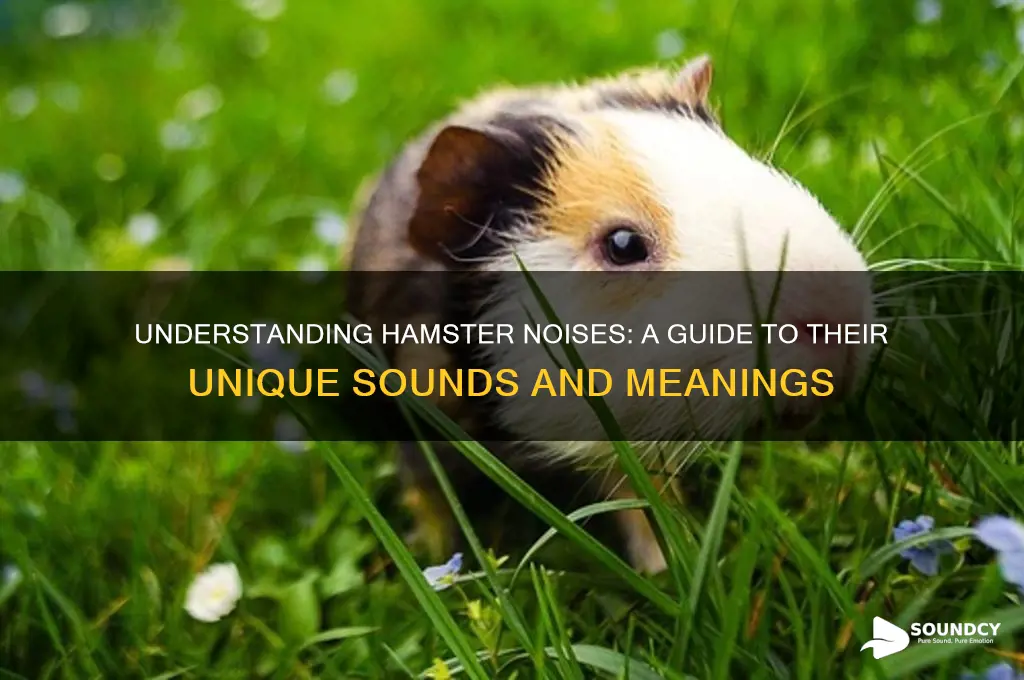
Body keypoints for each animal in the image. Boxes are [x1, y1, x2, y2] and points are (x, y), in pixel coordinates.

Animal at [346, 56, 871, 573]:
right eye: (622, 244)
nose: (839, 318)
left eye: (754, 165)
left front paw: (668, 569)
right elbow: (432, 498)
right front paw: (441, 562)